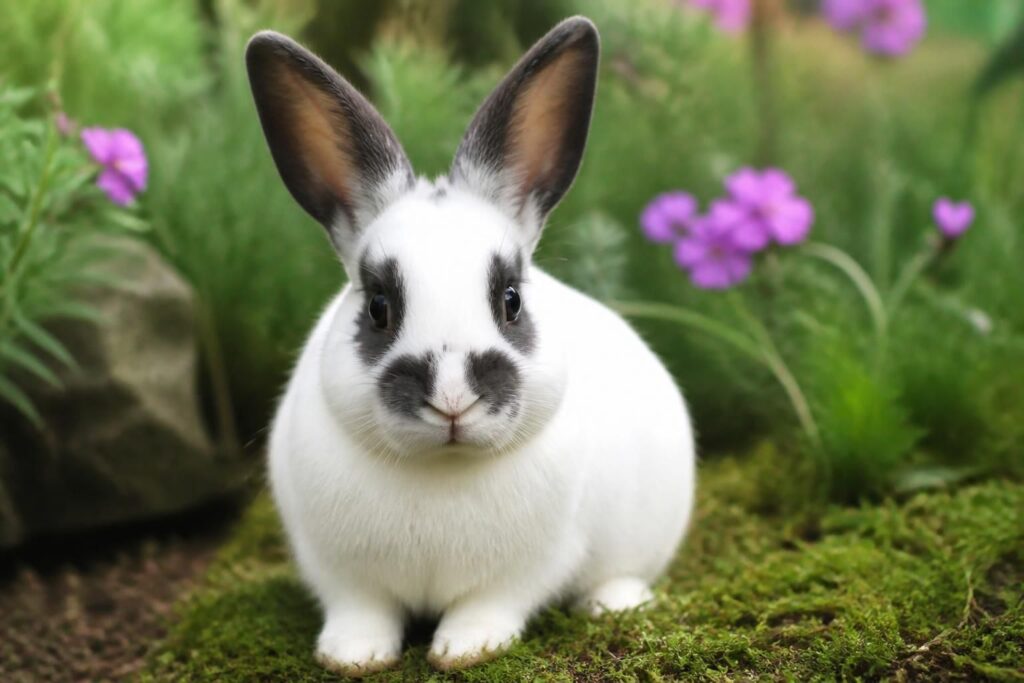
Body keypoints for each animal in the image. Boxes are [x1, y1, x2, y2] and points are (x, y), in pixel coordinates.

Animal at [246, 16, 695, 676]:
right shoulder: (340, 572)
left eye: (510, 301)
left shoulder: (528, 568)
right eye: (378, 307)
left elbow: (488, 606)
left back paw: (613, 604)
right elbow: (361, 610)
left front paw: (465, 649)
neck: (442, 468)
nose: (453, 397)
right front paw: (352, 655)